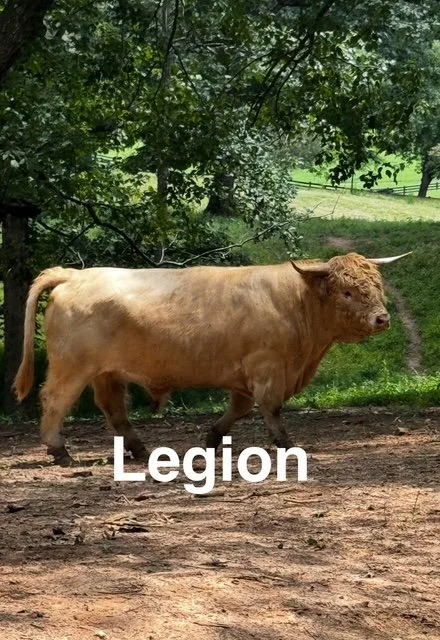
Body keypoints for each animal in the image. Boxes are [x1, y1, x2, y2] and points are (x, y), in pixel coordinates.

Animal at [13, 251, 411, 465]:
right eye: (347, 292)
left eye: (376, 286)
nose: (382, 318)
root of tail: (74, 274)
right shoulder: (268, 368)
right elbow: (271, 408)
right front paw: (286, 443)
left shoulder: (246, 375)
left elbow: (239, 408)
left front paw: (212, 438)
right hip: (73, 367)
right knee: (55, 401)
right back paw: (60, 451)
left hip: (106, 372)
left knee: (114, 410)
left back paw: (141, 450)